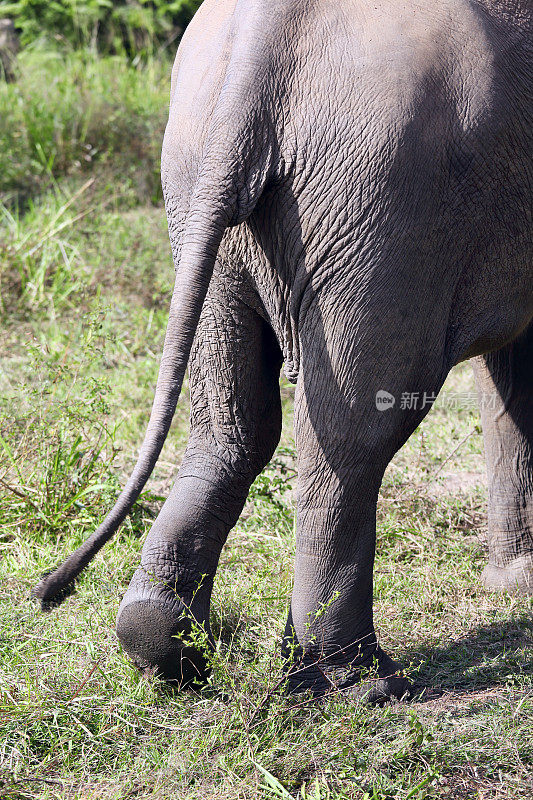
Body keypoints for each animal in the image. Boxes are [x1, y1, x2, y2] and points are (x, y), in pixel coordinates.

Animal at [34, 0, 532, 700]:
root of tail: (262, 50)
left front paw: (515, 583)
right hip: (389, 200)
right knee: (354, 434)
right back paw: (360, 681)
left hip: (199, 188)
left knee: (231, 423)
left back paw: (164, 649)